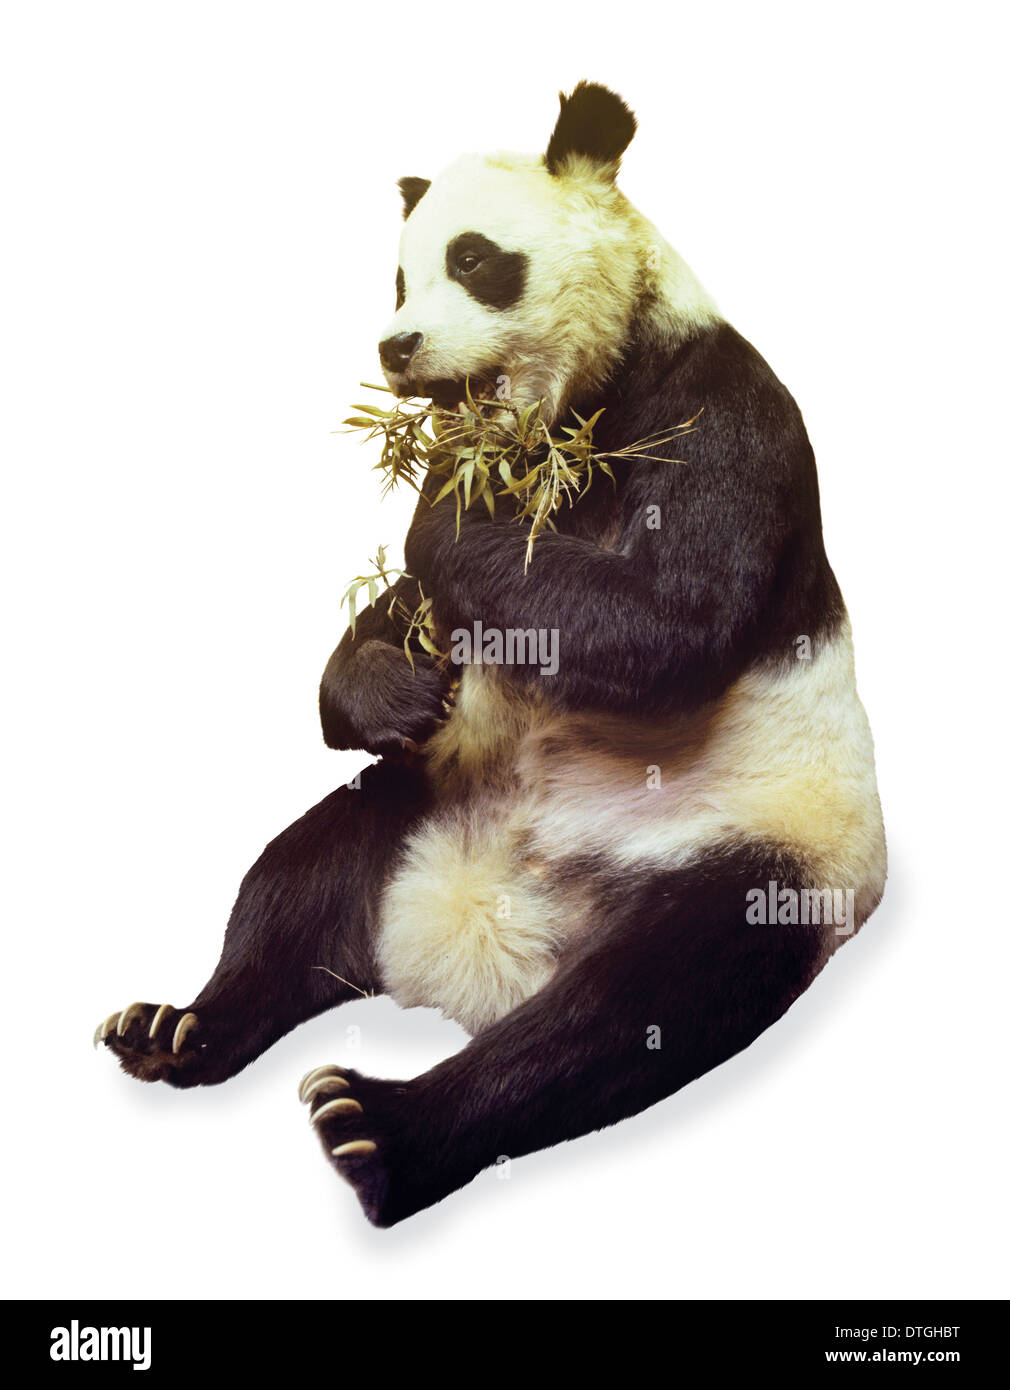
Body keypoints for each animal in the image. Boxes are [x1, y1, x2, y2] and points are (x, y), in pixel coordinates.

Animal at [97, 82, 886, 1227]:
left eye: (474, 260)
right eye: (397, 277)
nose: (396, 347)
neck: (575, 410)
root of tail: (480, 942)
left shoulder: (715, 412)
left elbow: (668, 622)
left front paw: (450, 512)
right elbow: (409, 621)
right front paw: (397, 681)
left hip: (761, 845)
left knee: (640, 1003)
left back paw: (378, 1131)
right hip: (426, 794)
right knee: (298, 878)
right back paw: (179, 1031)